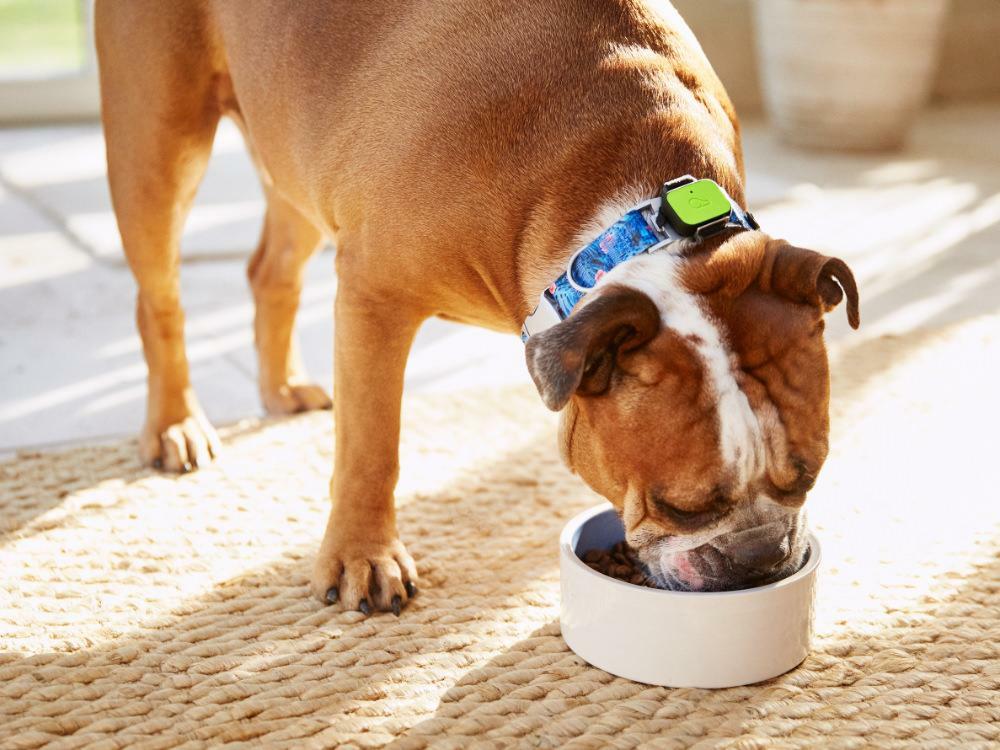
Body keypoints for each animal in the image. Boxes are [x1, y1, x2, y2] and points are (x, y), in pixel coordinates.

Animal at [95, 0, 860, 612]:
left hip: (290, 160)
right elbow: (371, 446)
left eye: (811, 475)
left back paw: (281, 388)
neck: (638, 214)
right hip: (158, 140)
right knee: (158, 296)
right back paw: (175, 425)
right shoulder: (373, 297)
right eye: (683, 506)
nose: (760, 559)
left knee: (270, 271)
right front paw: (362, 557)